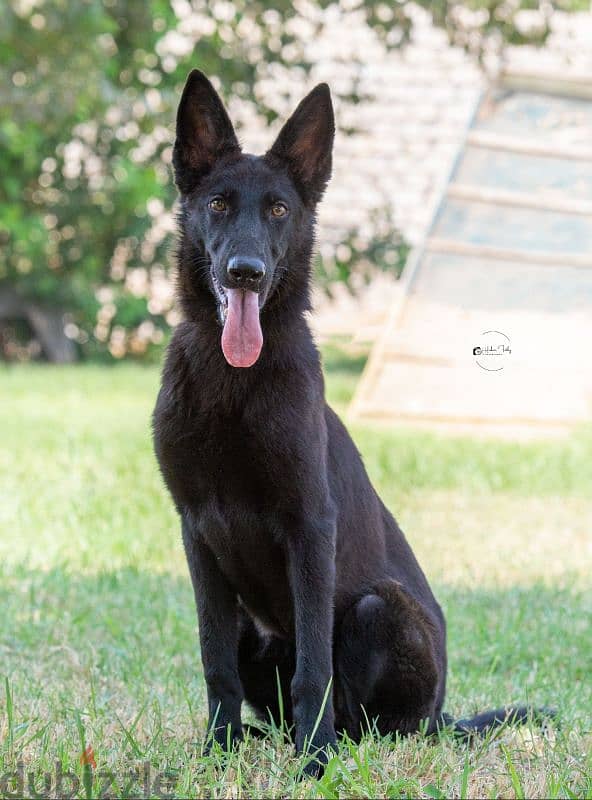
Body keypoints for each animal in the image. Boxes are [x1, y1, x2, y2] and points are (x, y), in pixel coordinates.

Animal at [154, 70, 552, 776]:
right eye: (219, 204)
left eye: (279, 210)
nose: (246, 273)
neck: (233, 385)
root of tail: (444, 717)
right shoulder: (197, 532)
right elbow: (213, 660)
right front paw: (217, 751)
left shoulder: (311, 527)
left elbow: (314, 667)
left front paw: (313, 764)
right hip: (256, 625)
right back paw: (260, 738)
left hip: (377, 610)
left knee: (375, 721)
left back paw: (331, 742)